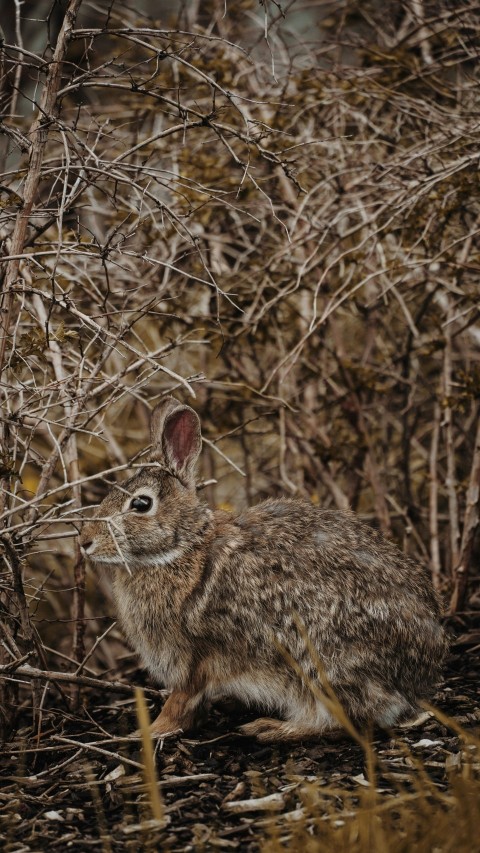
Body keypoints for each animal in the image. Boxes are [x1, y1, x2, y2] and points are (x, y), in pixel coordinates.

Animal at [80, 398, 448, 740]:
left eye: (141, 504)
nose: (85, 541)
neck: (181, 549)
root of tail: (417, 678)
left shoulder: (193, 658)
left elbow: (181, 701)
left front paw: (149, 732)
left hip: (317, 660)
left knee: (339, 718)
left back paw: (271, 728)